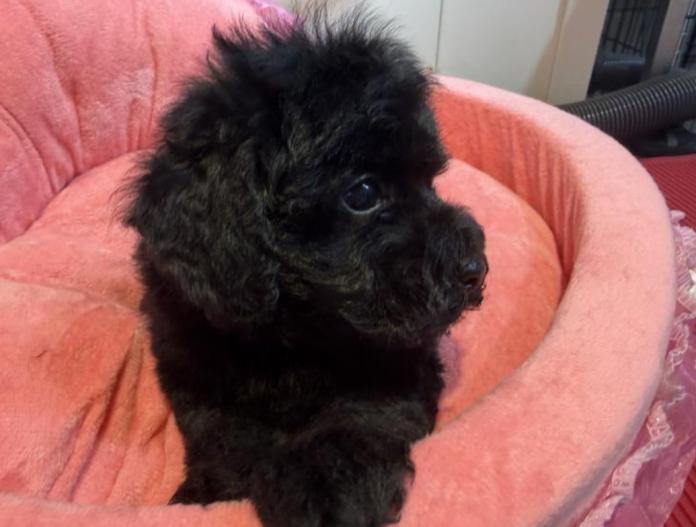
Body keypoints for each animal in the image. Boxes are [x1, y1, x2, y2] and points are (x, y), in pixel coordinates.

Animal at [123, 7, 486, 527]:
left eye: (431, 181)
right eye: (362, 193)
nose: (475, 268)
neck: (293, 335)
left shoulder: (400, 357)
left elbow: (358, 415)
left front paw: (324, 488)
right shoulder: (193, 357)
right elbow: (220, 431)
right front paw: (210, 491)